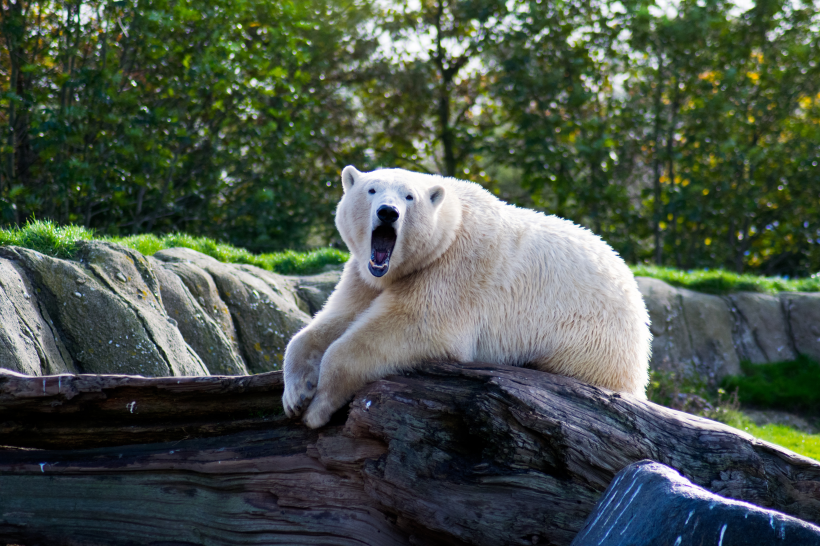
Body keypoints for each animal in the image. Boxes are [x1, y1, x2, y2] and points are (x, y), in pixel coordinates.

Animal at [284, 164, 652, 428]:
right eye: (371, 189)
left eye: (409, 197)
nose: (388, 212)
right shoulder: (365, 277)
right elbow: (333, 320)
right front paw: (295, 394)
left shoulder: (455, 269)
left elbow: (410, 326)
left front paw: (318, 407)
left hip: (592, 340)